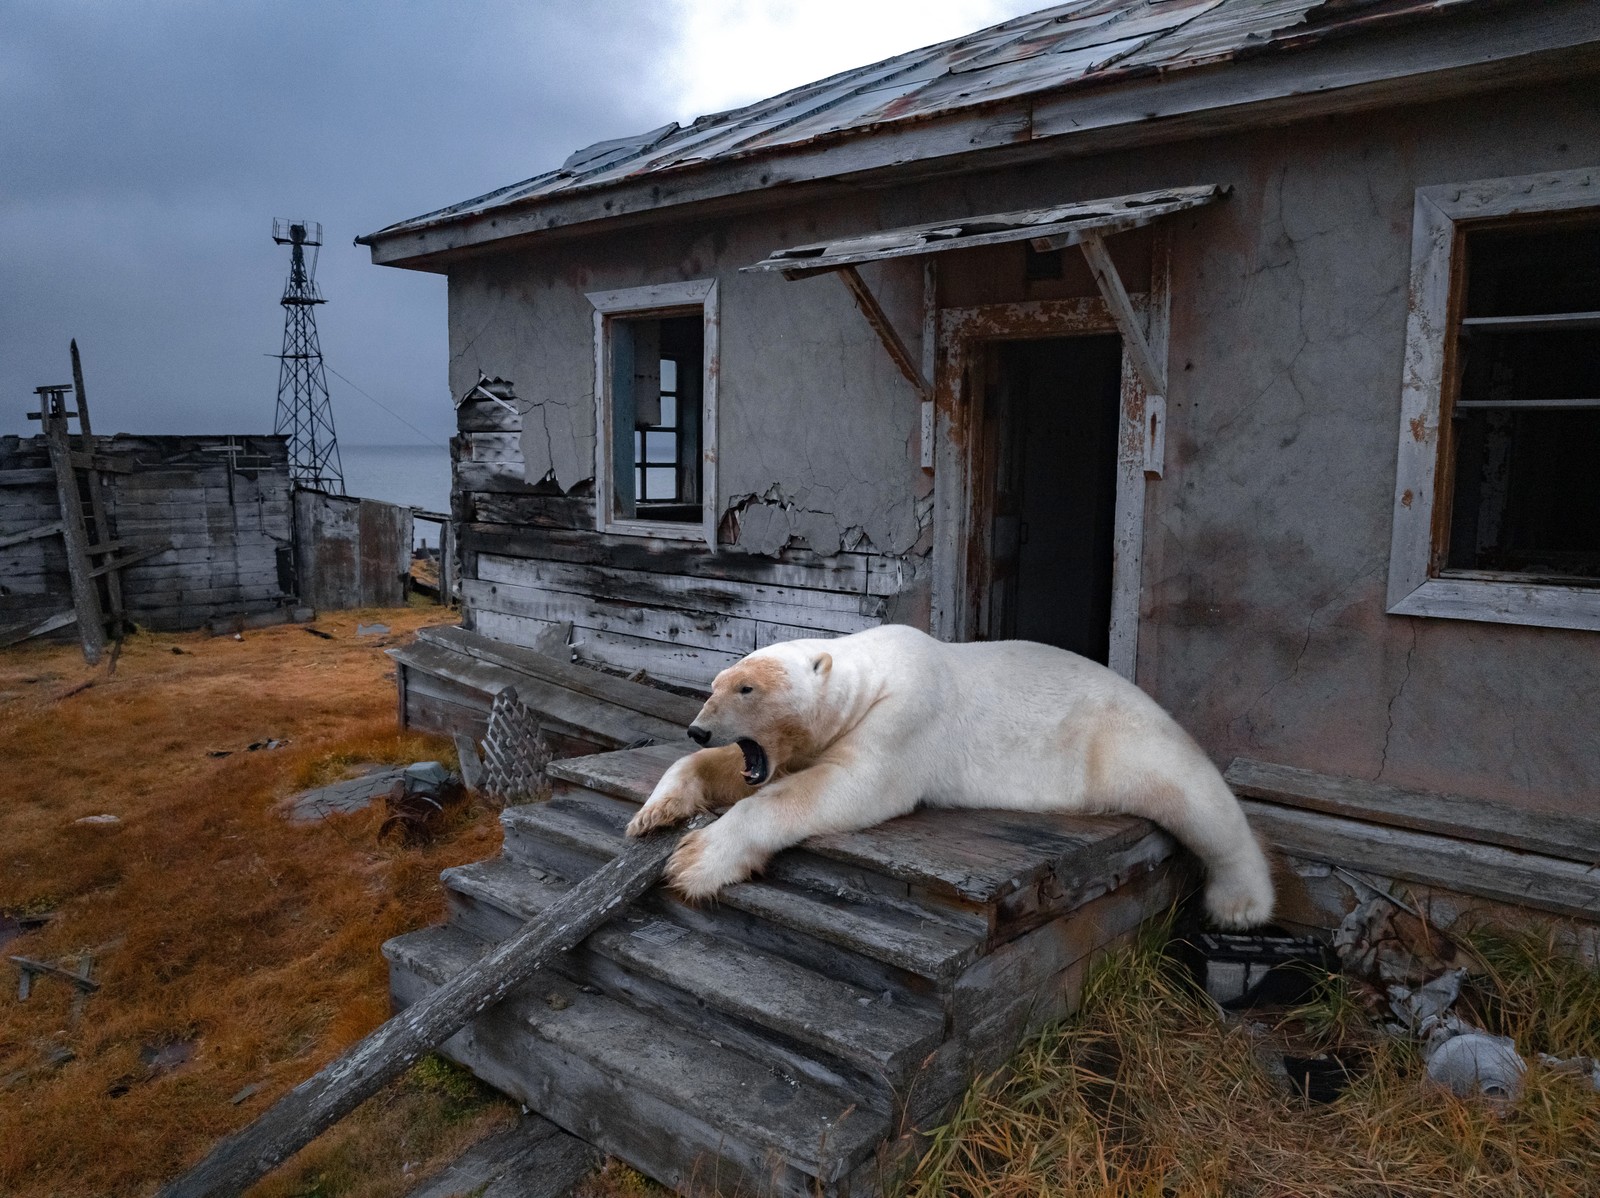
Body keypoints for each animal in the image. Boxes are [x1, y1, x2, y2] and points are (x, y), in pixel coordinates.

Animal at [626, 624, 1275, 928]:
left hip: (1122, 740)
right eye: (715, 684)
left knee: (1196, 799)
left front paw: (696, 860)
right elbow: (745, 771)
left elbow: (844, 787)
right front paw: (657, 810)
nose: (698, 728)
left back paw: (1240, 903)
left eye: (747, 688)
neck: (872, 675)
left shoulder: (905, 718)